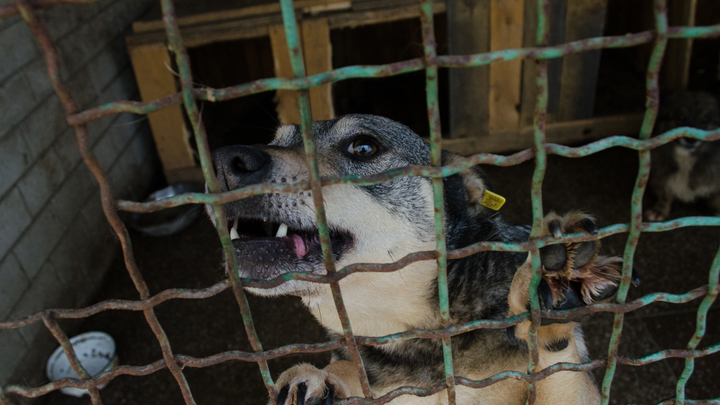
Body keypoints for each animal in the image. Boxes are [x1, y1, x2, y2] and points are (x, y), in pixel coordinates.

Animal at [210, 114, 624, 404]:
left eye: (363, 147)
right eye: (274, 141)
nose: (225, 161)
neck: (411, 335)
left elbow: (558, 366)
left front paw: (550, 284)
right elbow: (345, 368)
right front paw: (317, 378)